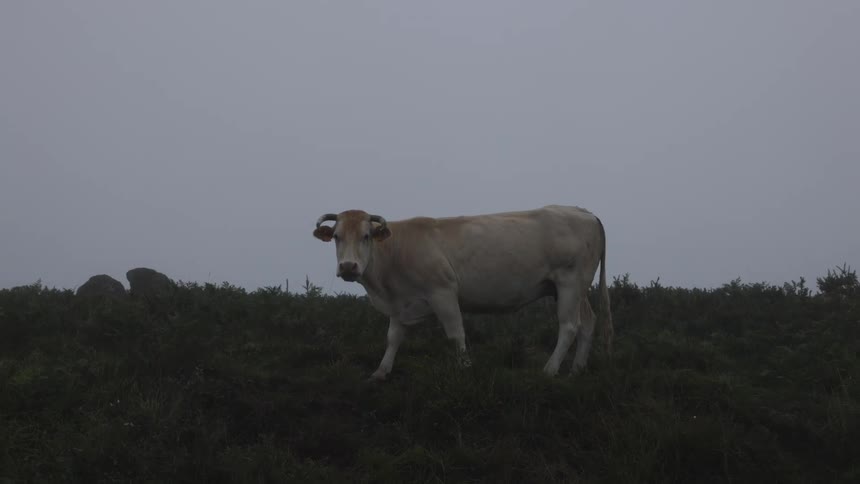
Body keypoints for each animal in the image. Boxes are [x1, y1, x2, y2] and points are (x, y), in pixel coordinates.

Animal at [312, 204, 613, 380]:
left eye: (366, 236)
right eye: (336, 237)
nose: (348, 266)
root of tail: (583, 211)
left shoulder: (443, 291)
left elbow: (456, 333)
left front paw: (465, 368)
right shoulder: (400, 304)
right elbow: (393, 338)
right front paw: (381, 371)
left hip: (569, 282)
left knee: (570, 326)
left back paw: (550, 370)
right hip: (576, 288)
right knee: (588, 323)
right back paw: (577, 370)